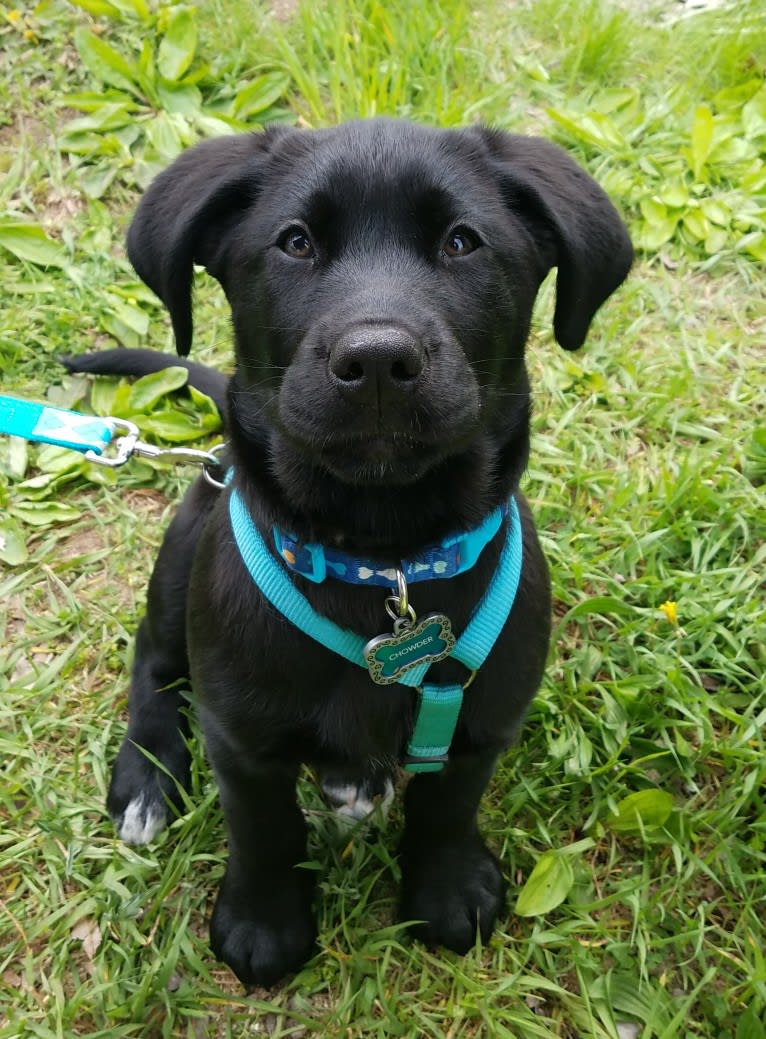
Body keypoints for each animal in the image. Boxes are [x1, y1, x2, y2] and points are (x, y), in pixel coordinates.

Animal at [65, 117, 631, 984]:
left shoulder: (480, 724)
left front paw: (446, 891)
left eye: (462, 242)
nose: (377, 361)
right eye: (296, 242)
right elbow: (265, 829)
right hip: (183, 556)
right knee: (154, 663)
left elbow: (448, 807)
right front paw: (262, 926)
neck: (384, 560)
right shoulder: (240, 738)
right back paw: (147, 777)